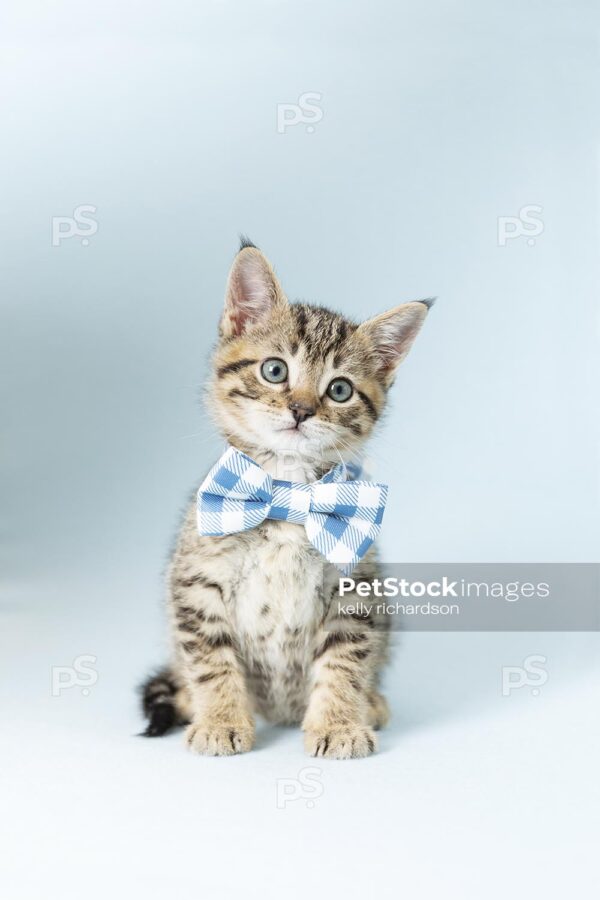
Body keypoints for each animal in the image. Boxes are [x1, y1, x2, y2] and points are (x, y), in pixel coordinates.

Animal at [141, 241, 432, 760]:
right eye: (274, 370)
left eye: (339, 389)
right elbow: (210, 658)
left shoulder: (353, 587)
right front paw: (220, 719)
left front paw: (338, 723)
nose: (300, 409)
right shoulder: (197, 583)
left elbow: (344, 660)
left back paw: (370, 702)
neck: (287, 493)